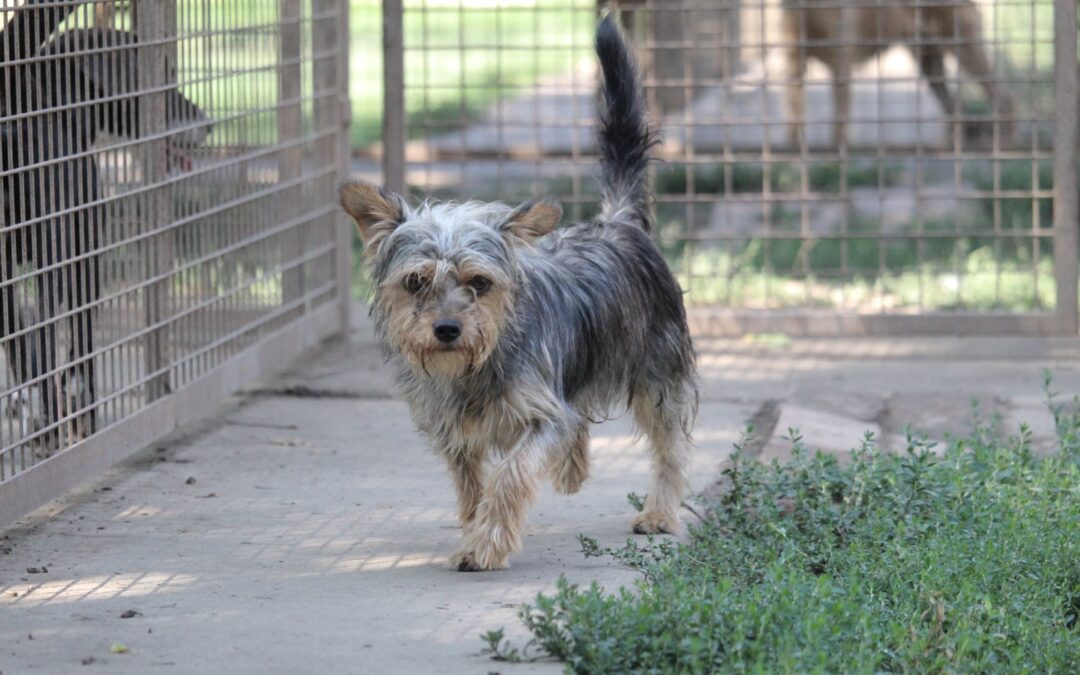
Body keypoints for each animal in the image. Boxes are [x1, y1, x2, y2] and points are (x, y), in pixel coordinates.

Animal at [339, 15, 699, 570]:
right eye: (416, 281)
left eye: (480, 282)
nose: (447, 329)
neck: (476, 365)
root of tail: (616, 222)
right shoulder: (456, 431)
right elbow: (473, 485)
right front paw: (476, 525)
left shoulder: (541, 413)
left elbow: (510, 474)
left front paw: (486, 544)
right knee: (581, 423)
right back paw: (573, 471)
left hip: (659, 372)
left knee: (669, 446)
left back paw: (659, 512)